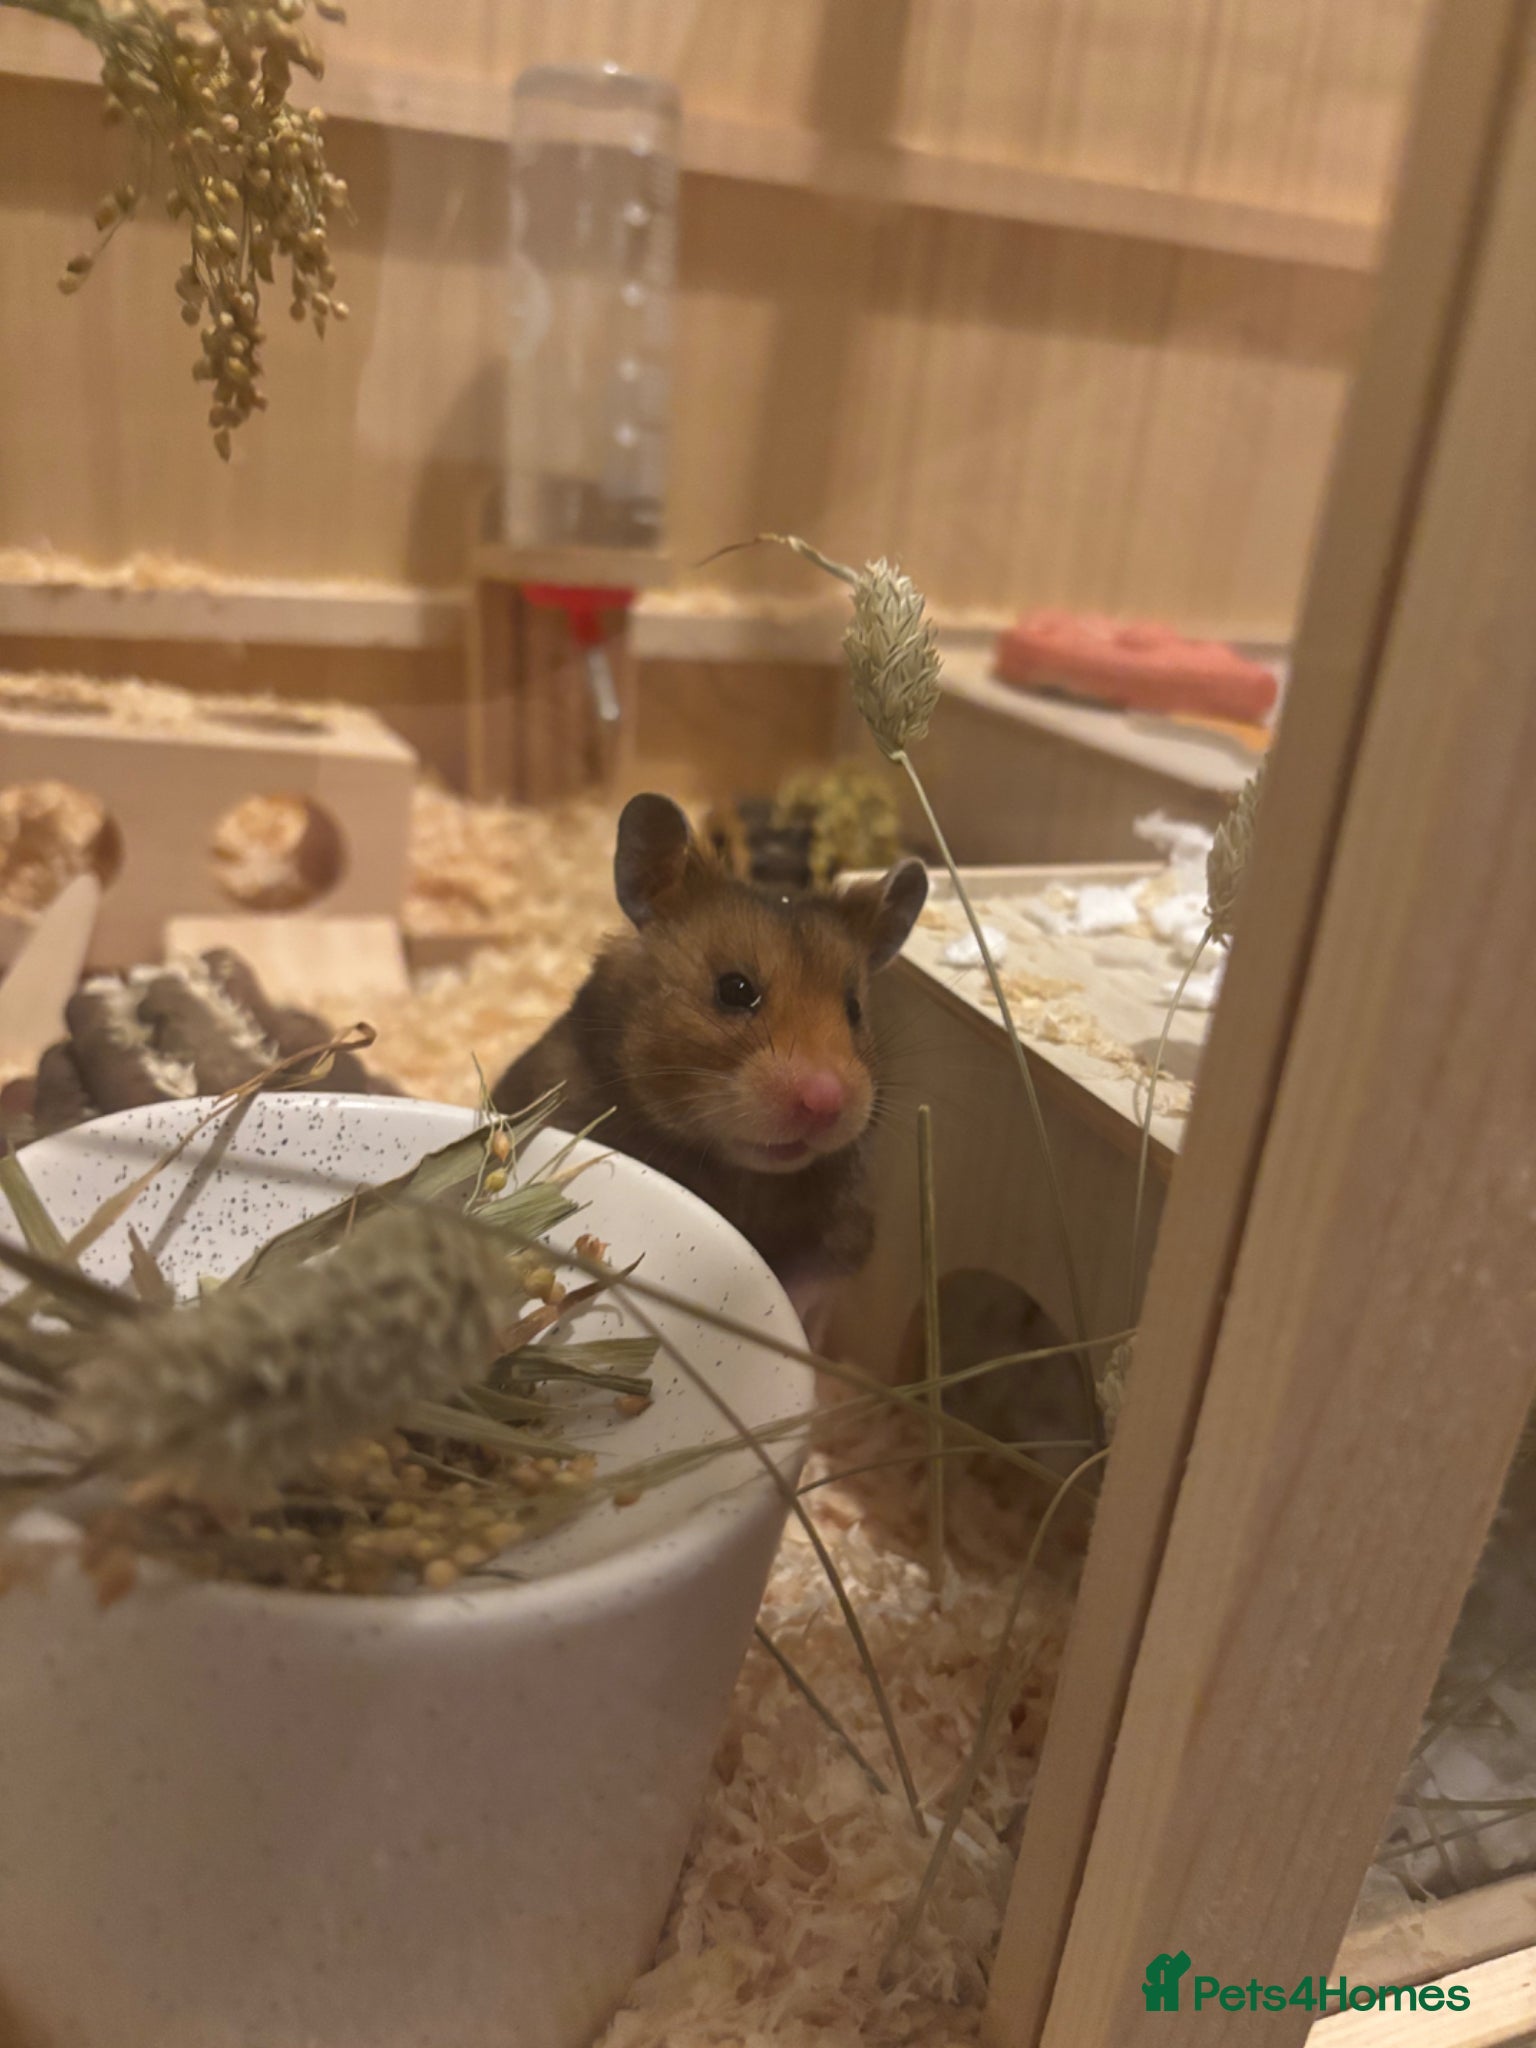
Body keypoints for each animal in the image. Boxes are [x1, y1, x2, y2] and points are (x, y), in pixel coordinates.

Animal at [493, 793, 928, 1329]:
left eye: (854, 1008)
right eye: (734, 989)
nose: (826, 1101)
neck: (738, 1173)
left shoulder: (841, 1236)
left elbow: (809, 1283)